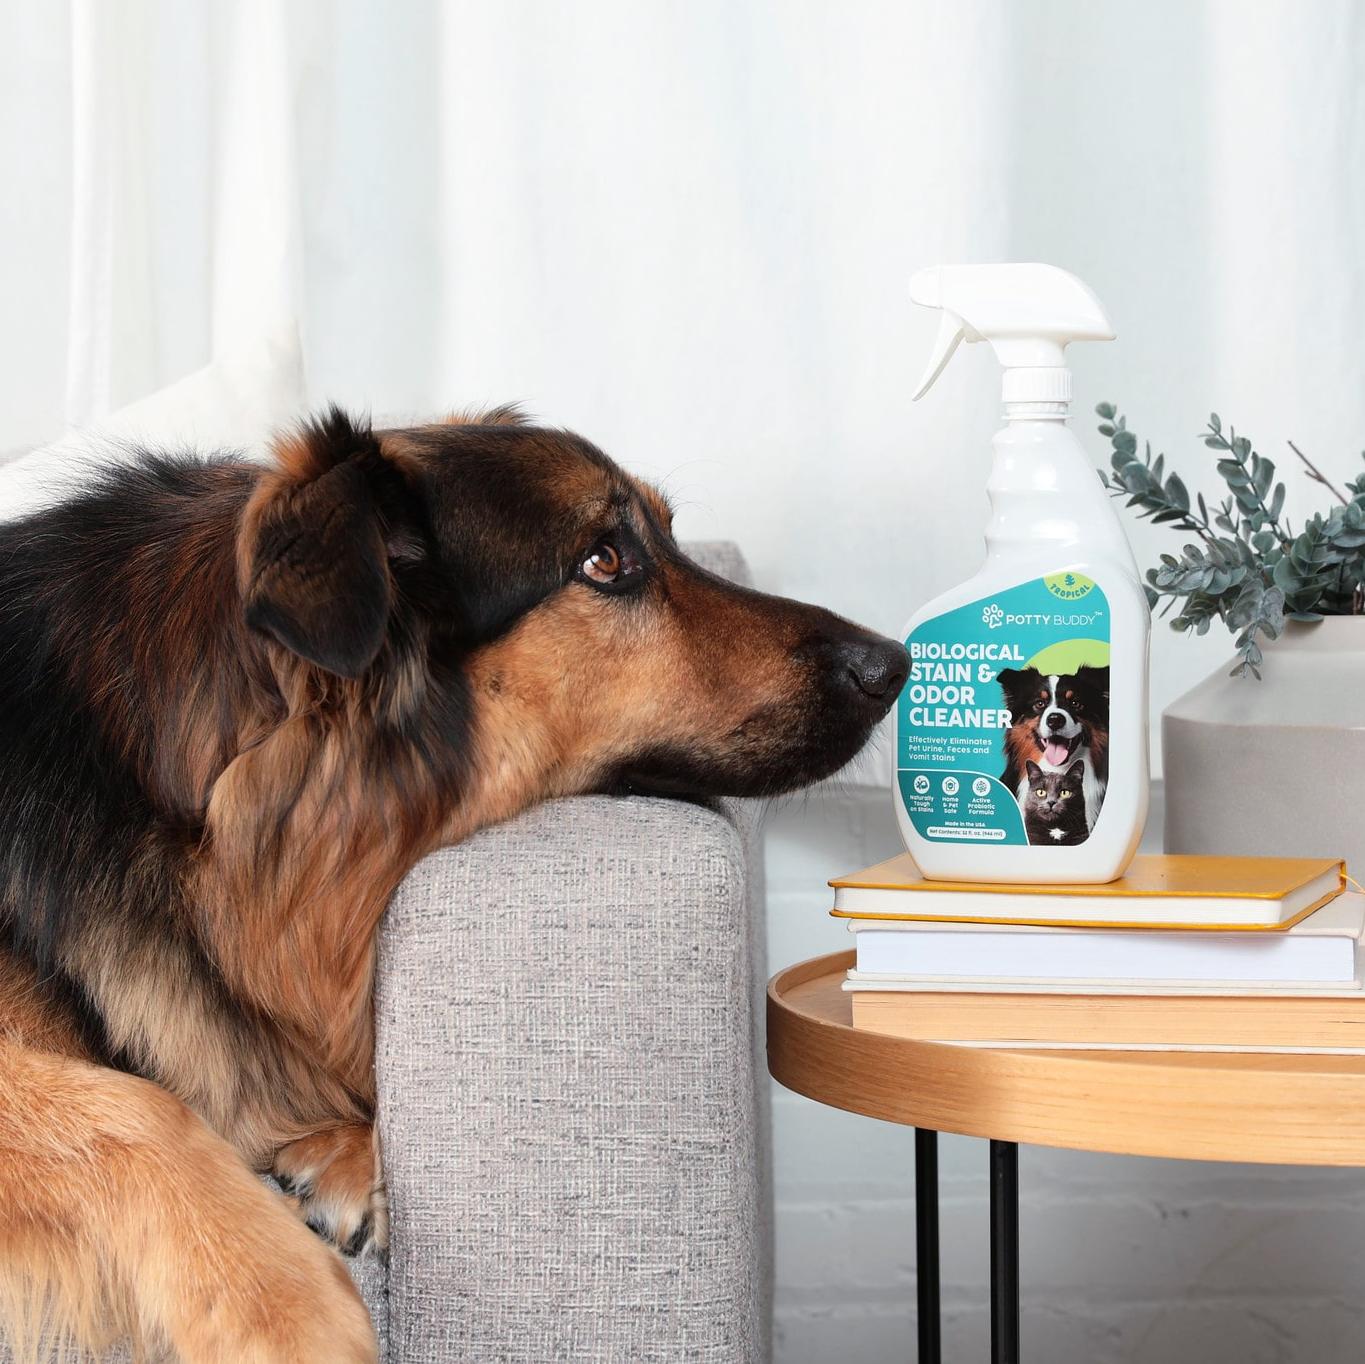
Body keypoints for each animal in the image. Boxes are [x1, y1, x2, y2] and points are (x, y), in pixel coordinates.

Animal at [0, 406, 906, 1364]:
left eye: (667, 534)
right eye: (603, 561)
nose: (894, 665)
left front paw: (341, 1158)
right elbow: (137, 1108)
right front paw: (293, 1316)